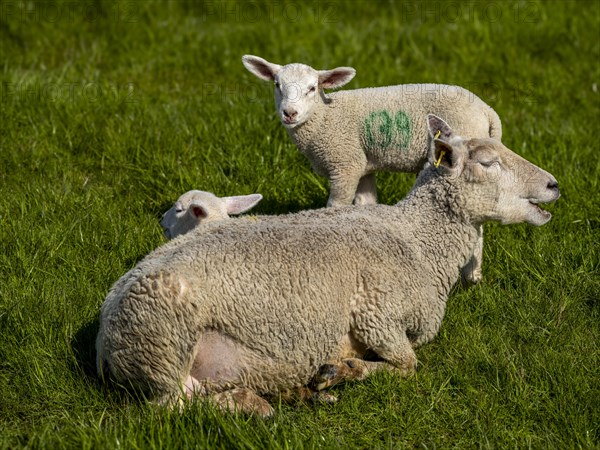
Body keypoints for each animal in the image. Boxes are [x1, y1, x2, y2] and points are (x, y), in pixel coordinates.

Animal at [96, 114, 560, 416]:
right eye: (487, 162)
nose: (555, 184)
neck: (417, 238)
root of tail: (103, 338)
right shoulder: (376, 313)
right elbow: (407, 366)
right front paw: (345, 369)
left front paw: (336, 374)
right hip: (163, 343)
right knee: (173, 406)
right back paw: (255, 404)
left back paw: (291, 395)